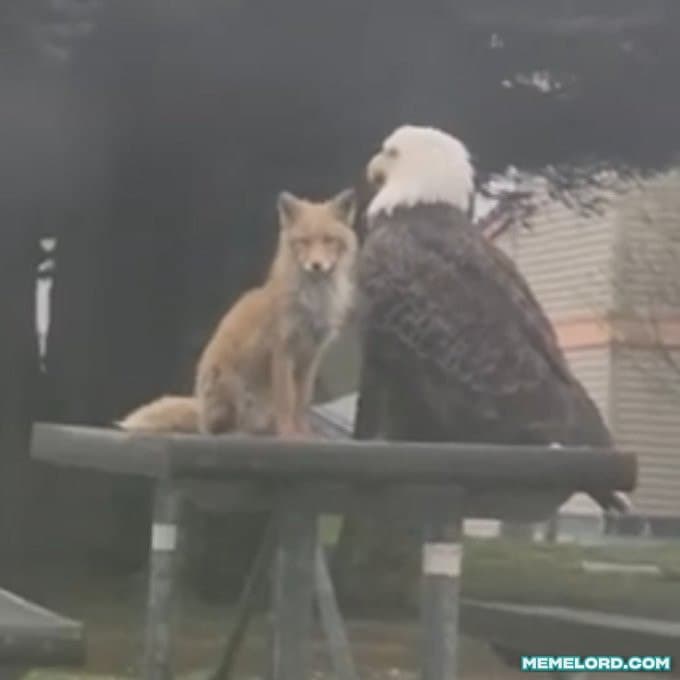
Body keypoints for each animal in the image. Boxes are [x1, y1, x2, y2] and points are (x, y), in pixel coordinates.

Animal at [117, 188, 358, 438]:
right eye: (303, 242)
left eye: (329, 240)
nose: (316, 265)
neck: (313, 303)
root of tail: (201, 409)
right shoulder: (282, 349)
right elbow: (286, 401)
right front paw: (287, 435)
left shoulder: (311, 356)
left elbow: (301, 402)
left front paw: (304, 433)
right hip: (230, 388)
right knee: (216, 431)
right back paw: (237, 431)